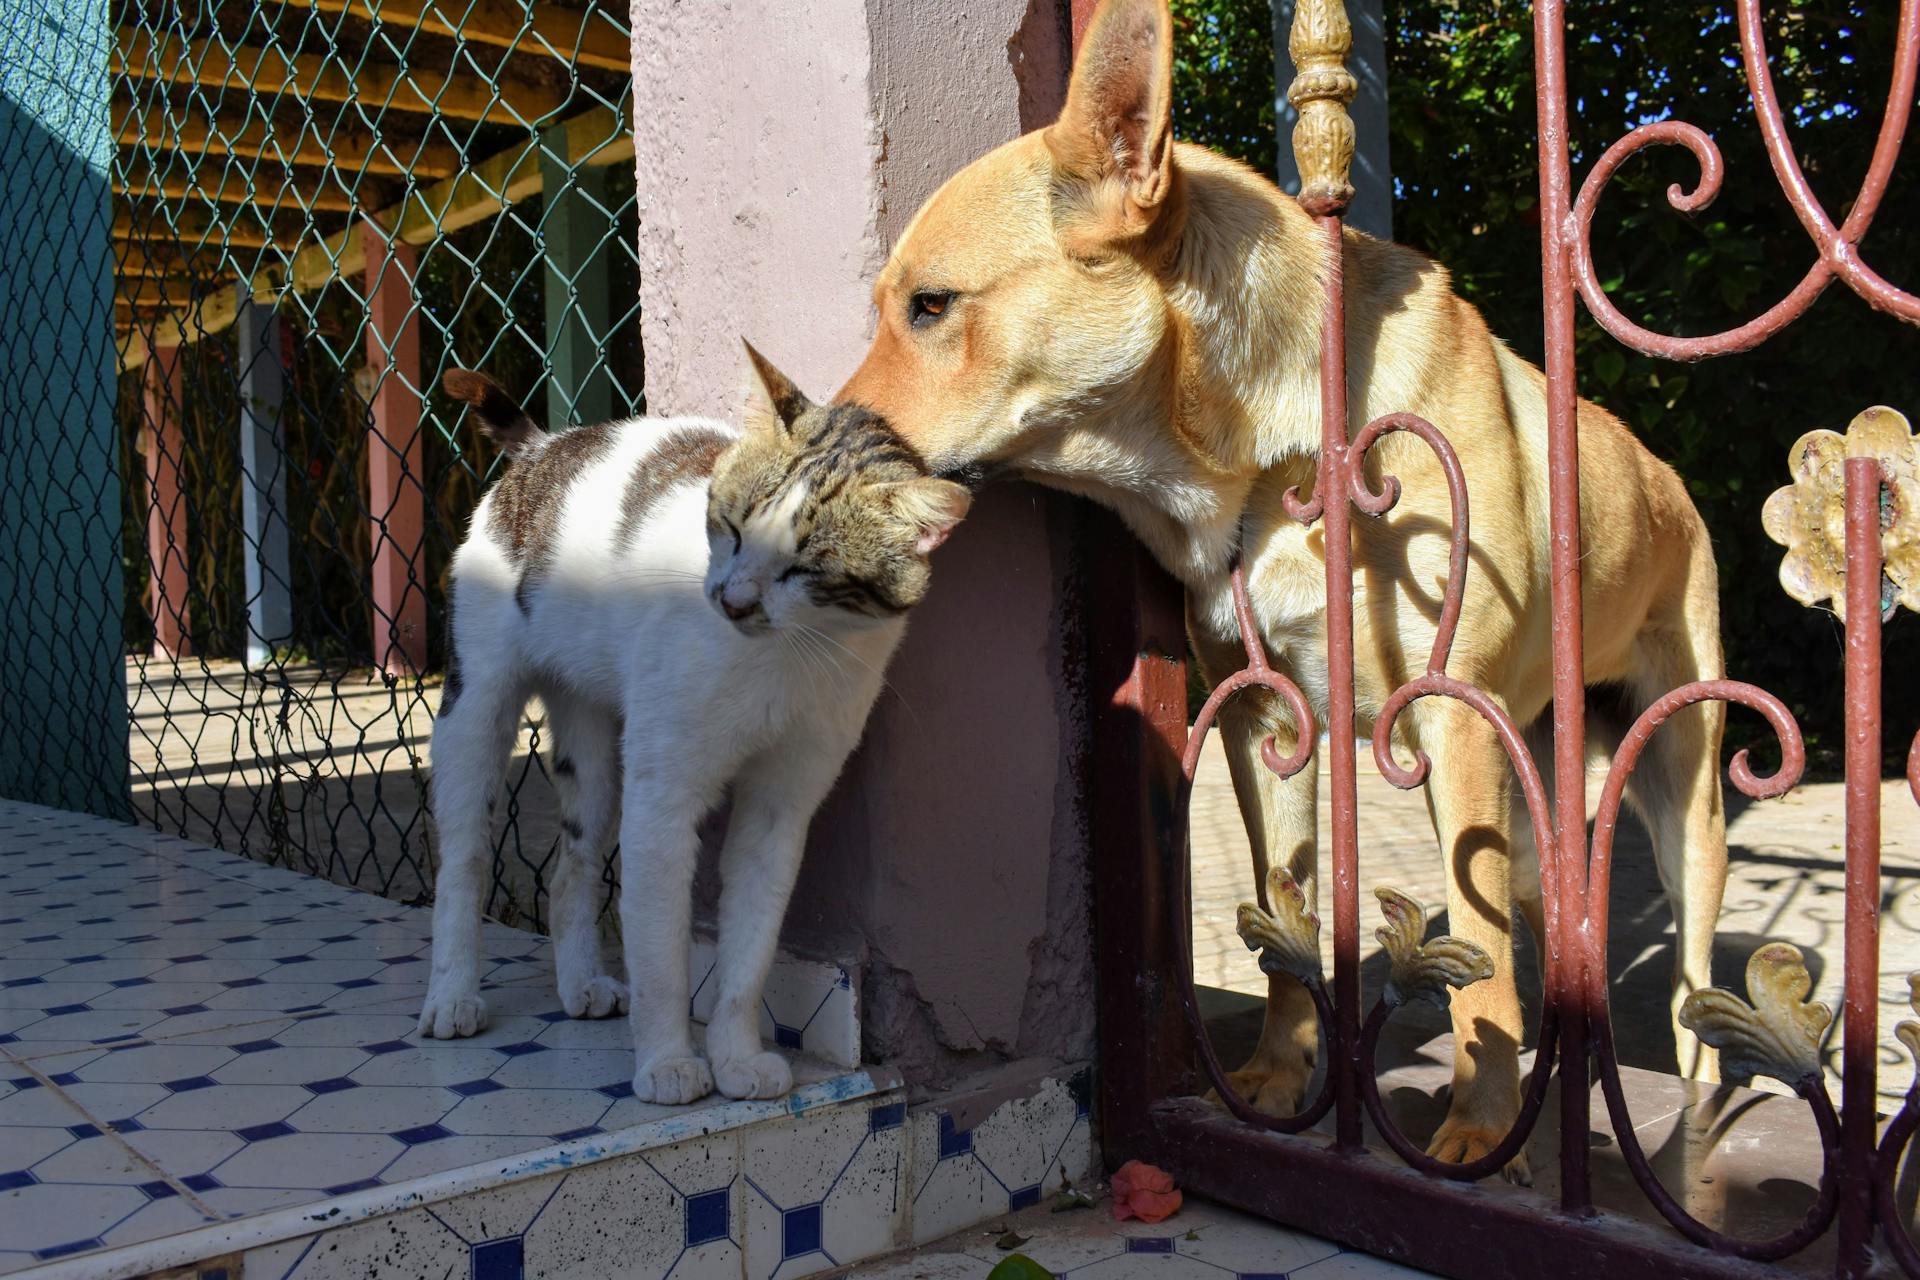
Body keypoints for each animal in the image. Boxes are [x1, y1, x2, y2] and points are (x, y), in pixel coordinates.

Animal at [840, 0, 1728, 1182]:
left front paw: (1483, 1129)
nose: (804, 441)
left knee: (1682, 985)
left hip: (1683, 804)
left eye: (932, 306)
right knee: (1559, 941)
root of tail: (1673, 483)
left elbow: (1479, 964)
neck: (1277, 462)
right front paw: (1276, 1072)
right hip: (1540, 803)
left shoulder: (1453, 726)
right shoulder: (1266, 725)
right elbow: (1288, 917)